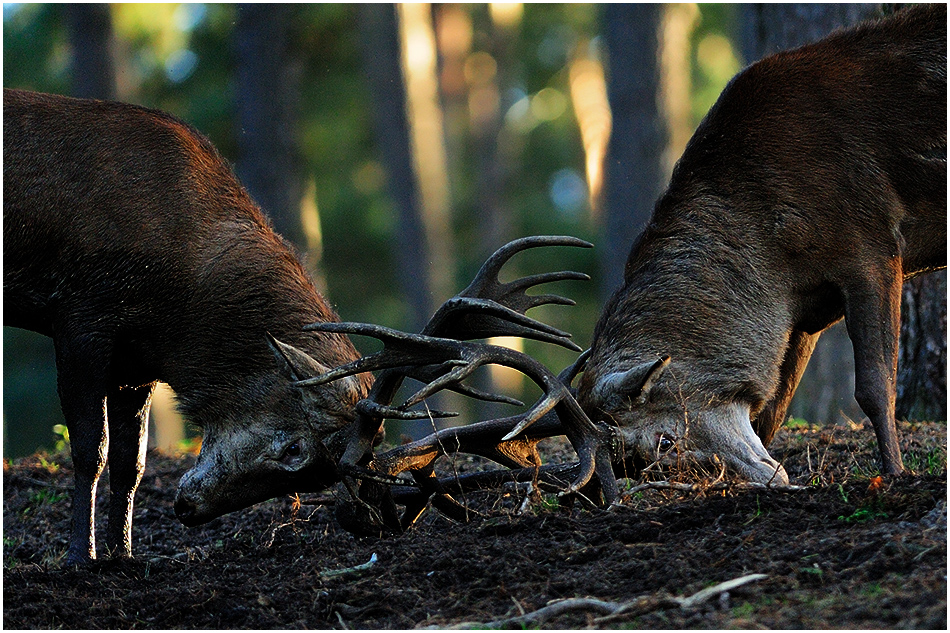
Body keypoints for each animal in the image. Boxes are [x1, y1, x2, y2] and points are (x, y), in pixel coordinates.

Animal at [1, 90, 370, 564]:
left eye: (319, 479)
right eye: (295, 450)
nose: (190, 509)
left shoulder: (134, 362)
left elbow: (132, 463)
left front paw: (123, 553)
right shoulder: (79, 317)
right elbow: (89, 449)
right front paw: (81, 556)